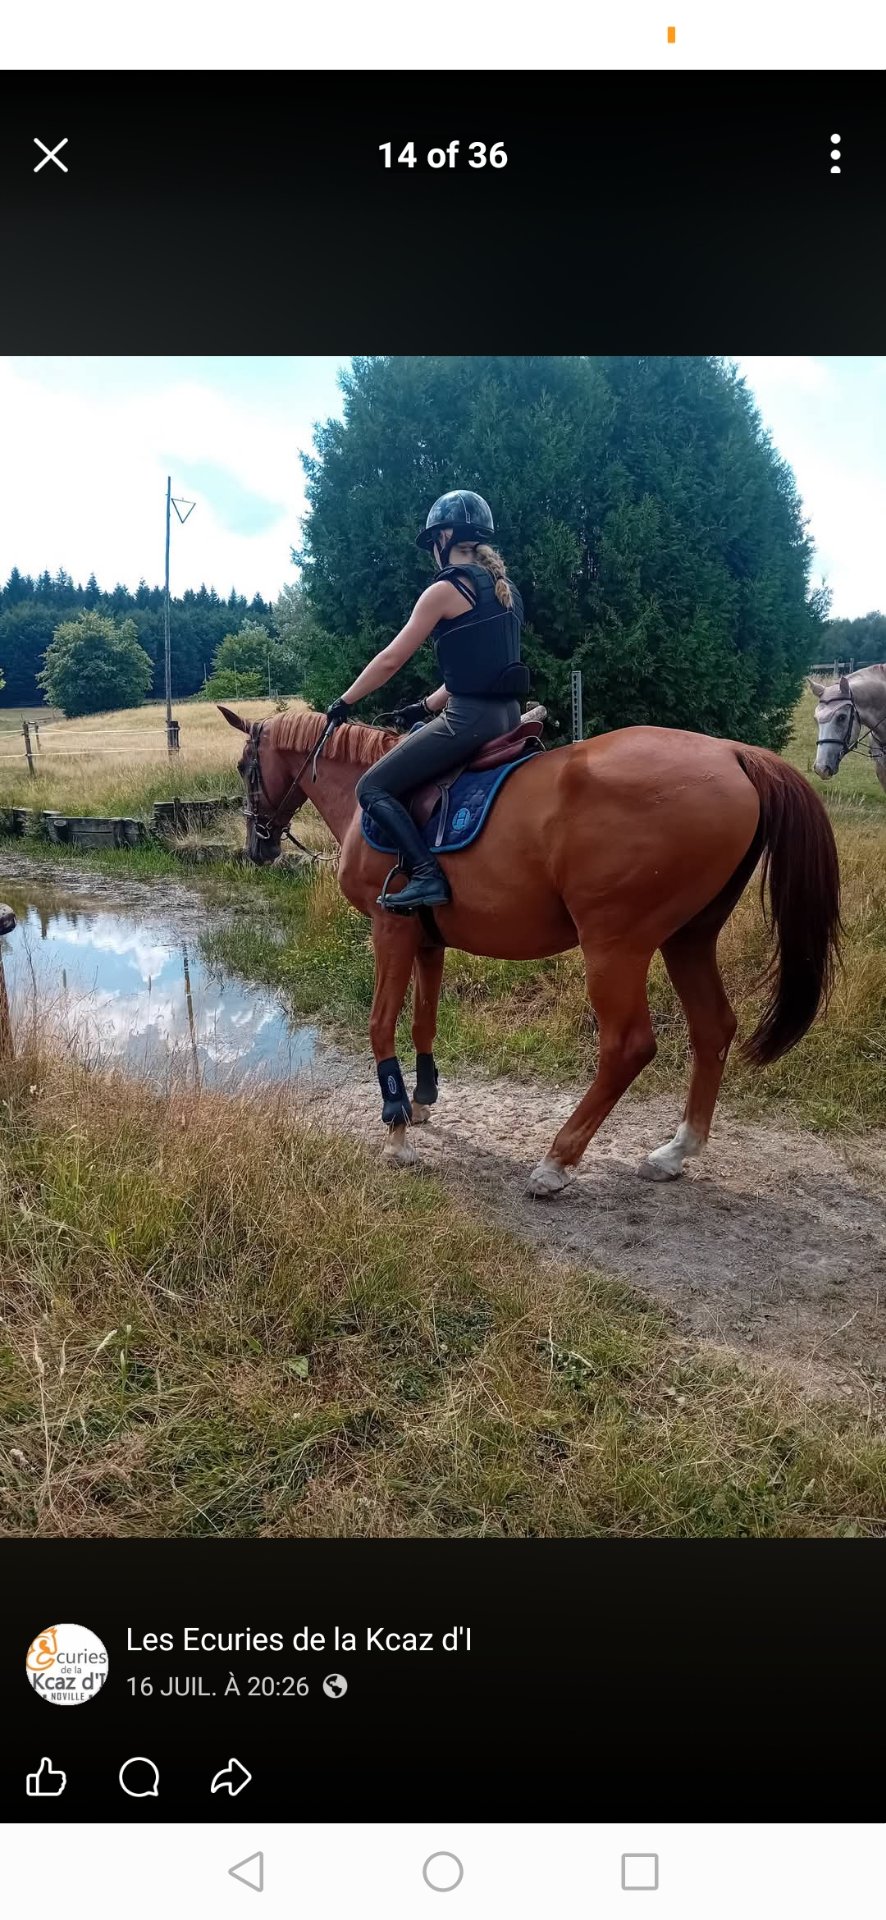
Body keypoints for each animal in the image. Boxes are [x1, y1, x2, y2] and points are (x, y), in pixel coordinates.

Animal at [219, 704, 840, 1195]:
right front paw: (421, 1100)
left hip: (615, 947)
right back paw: (676, 1151)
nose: (257, 847)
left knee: (628, 1047)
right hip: (687, 940)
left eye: (247, 769)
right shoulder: (425, 938)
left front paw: (395, 1127)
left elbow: (380, 1022)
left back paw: (557, 1161)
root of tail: (733, 754)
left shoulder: (390, 930)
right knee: (713, 1028)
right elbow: (423, 1019)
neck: (368, 798)